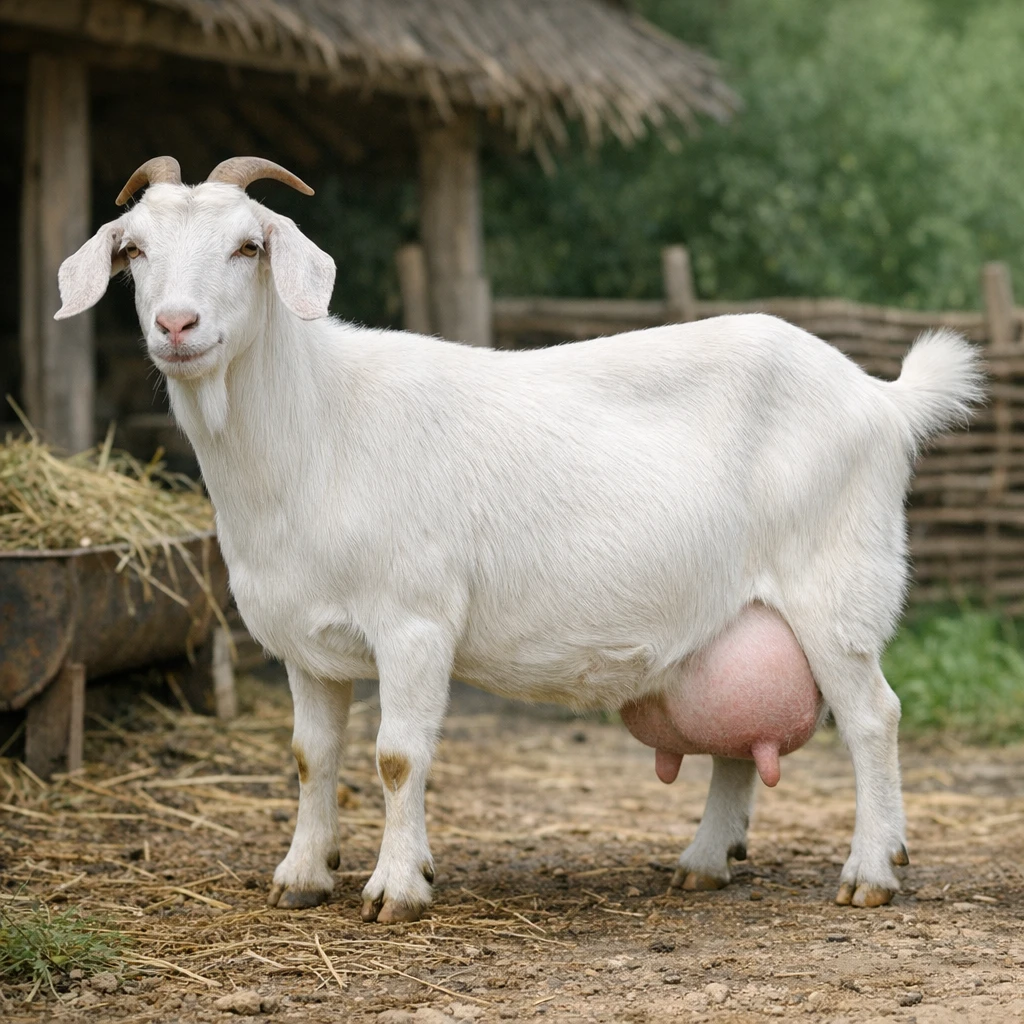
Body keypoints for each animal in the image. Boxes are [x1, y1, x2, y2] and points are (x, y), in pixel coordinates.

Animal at [56, 156, 984, 923]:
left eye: (250, 245)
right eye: (133, 249)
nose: (177, 325)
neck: (315, 426)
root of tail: (882, 398)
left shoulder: (415, 620)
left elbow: (397, 756)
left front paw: (396, 888)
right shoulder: (305, 644)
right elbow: (312, 757)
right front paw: (302, 876)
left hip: (837, 588)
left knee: (873, 716)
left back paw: (871, 872)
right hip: (735, 617)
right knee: (736, 740)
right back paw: (703, 861)